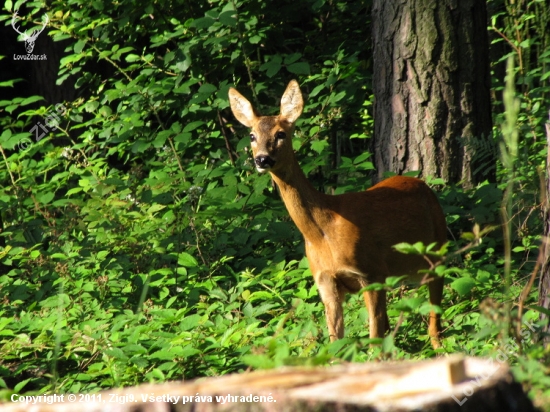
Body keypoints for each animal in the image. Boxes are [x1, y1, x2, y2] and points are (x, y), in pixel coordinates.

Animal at [229, 79, 448, 348]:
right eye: (252, 135)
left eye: (281, 134)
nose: (262, 159)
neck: (323, 232)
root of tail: (423, 184)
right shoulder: (325, 282)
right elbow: (336, 342)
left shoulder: (371, 271)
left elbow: (374, 340)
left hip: (437, 248)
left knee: (434, 312)